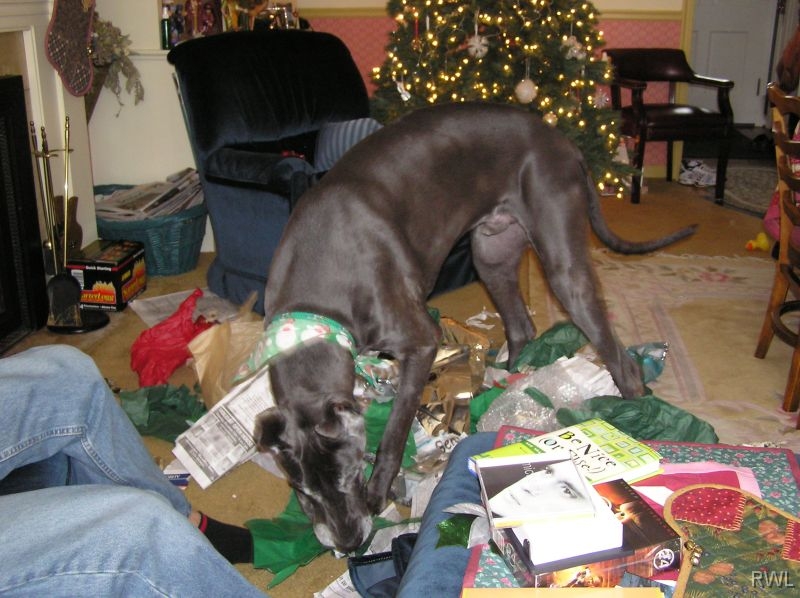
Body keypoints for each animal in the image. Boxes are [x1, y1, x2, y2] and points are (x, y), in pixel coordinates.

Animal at [253, 102, 695, 553]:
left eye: (353, 474)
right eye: (303, 491)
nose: (349, 544)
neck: (315, 300)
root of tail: (562, 140)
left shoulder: (420, 342)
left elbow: (394, 431)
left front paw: (381, 489)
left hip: (562, 267)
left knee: (621, 360)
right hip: (491, 254)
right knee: (521, 326)